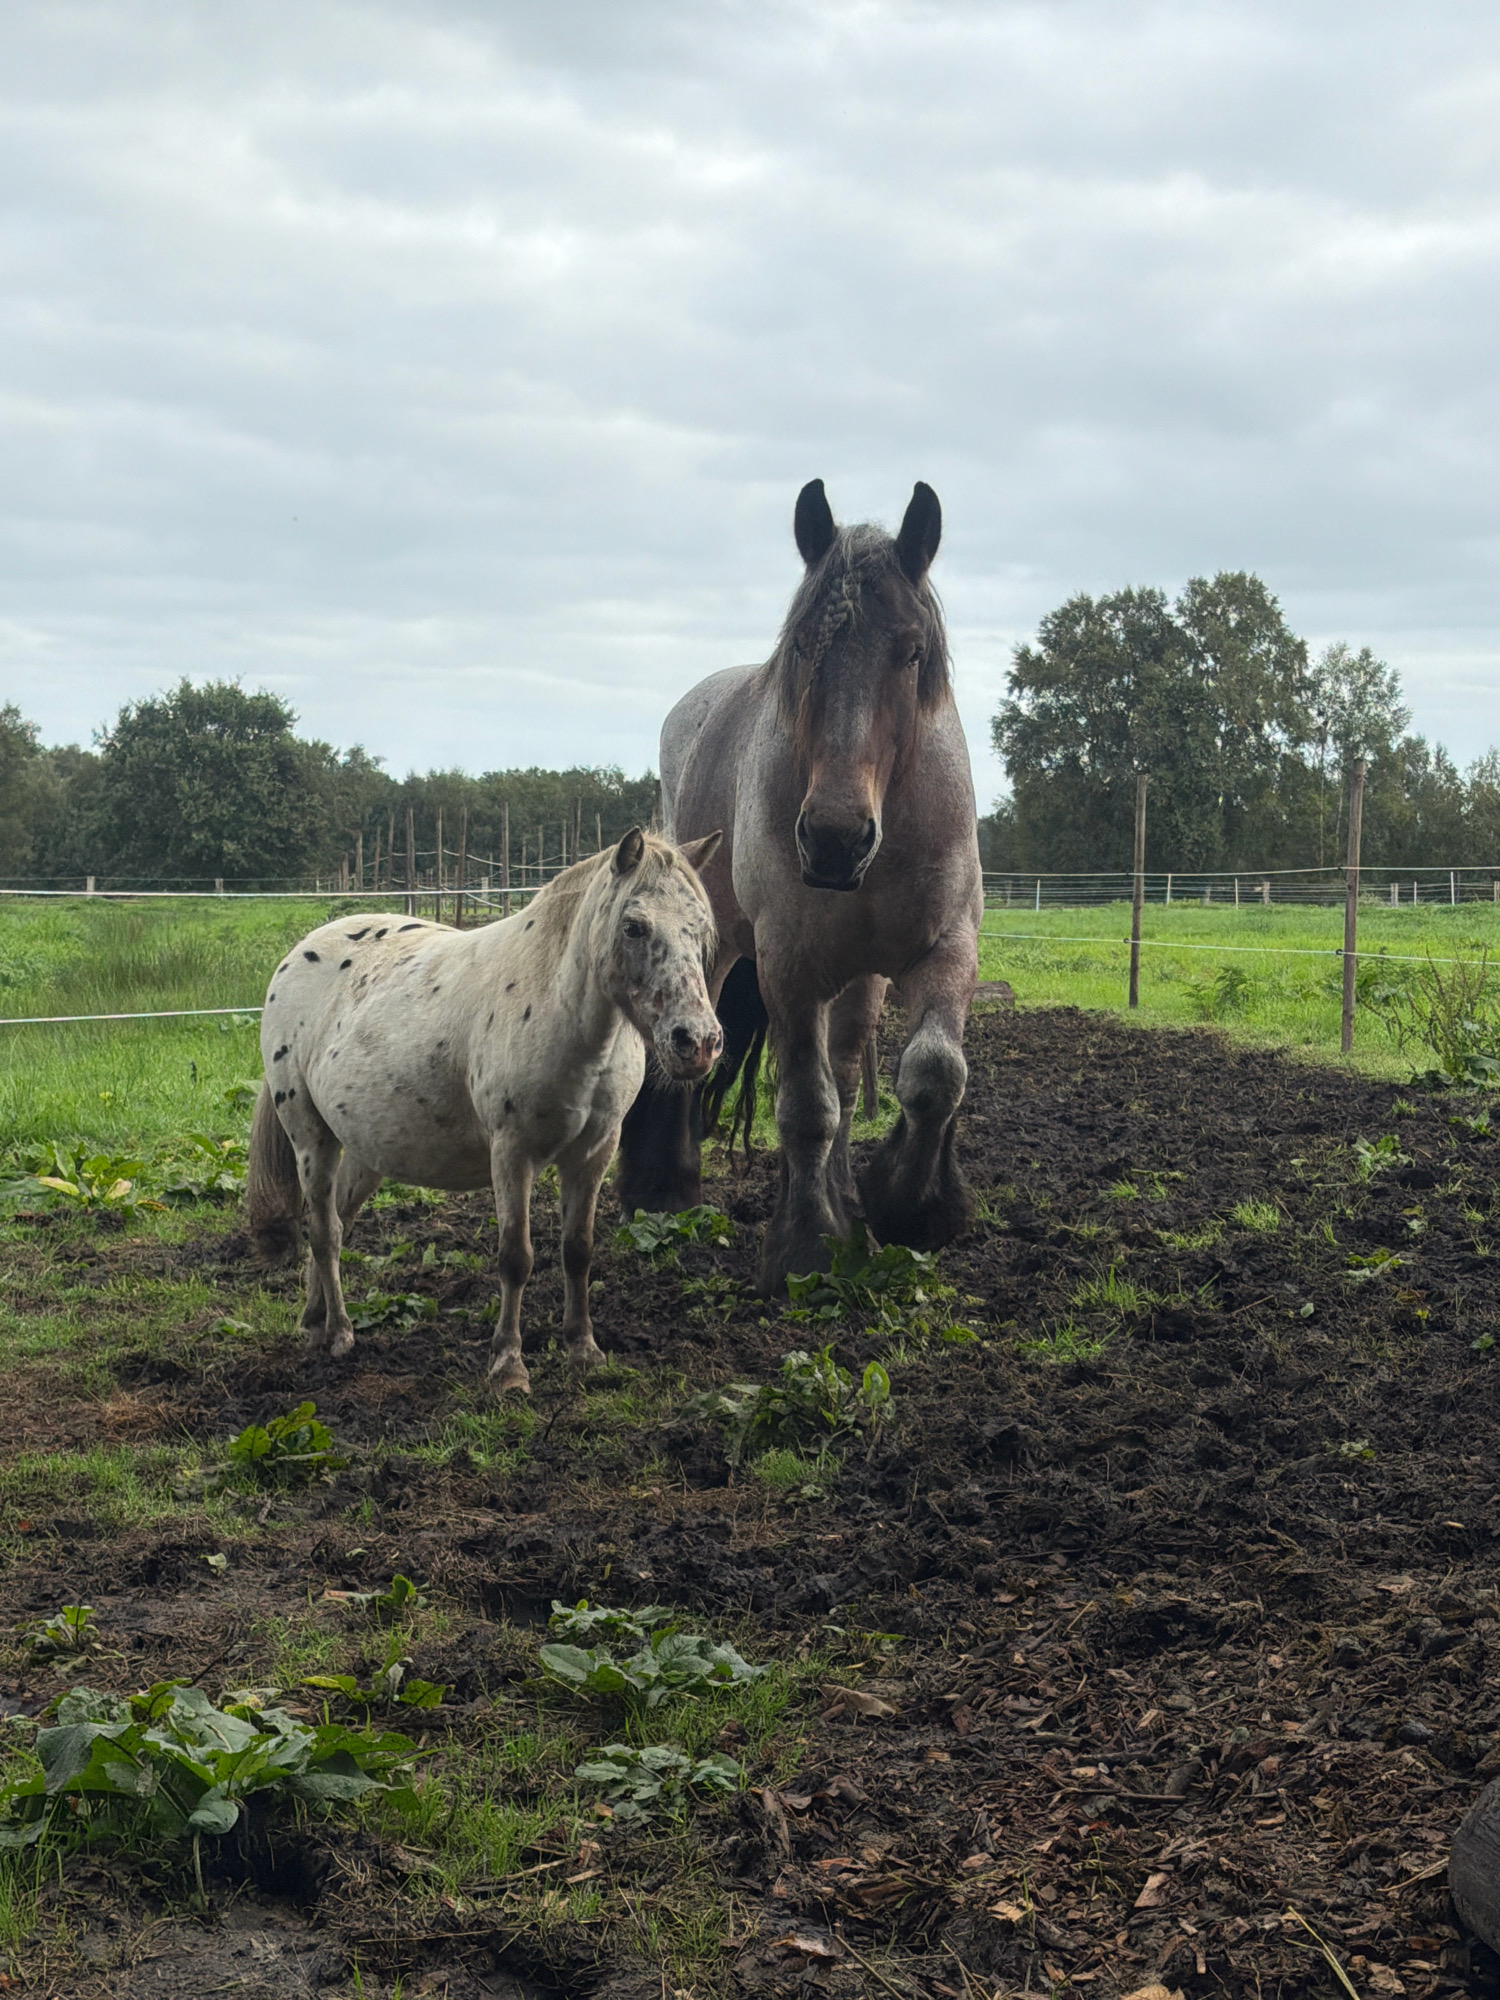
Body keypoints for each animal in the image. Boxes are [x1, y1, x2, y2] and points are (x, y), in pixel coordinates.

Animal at [245, 829, 723, 1394]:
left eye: (701, 929)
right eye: (634, 926)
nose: (698, 1042)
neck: (560, 1010)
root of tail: (297, 955)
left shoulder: (593, 1153)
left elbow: (578, 1250)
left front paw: (583, 1349)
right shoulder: (512, 1153)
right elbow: (516, 1257)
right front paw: (508, 1365)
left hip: (365, 1153)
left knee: (336, 1220)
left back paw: (314, 1320)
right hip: (311, 1138)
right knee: (323, 1232)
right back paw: (339, 1332)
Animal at [617, 479, 983, 1291]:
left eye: (912, 652)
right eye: (799, 652)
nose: (835, 839)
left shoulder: (945, 947)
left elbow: (932, 1074)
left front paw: (907, 1206)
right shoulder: (787, 968)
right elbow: (806, 1108)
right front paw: (809, 1245)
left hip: (859, 976)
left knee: (848, 1076)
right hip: (720, 947)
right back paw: (662, 1184)